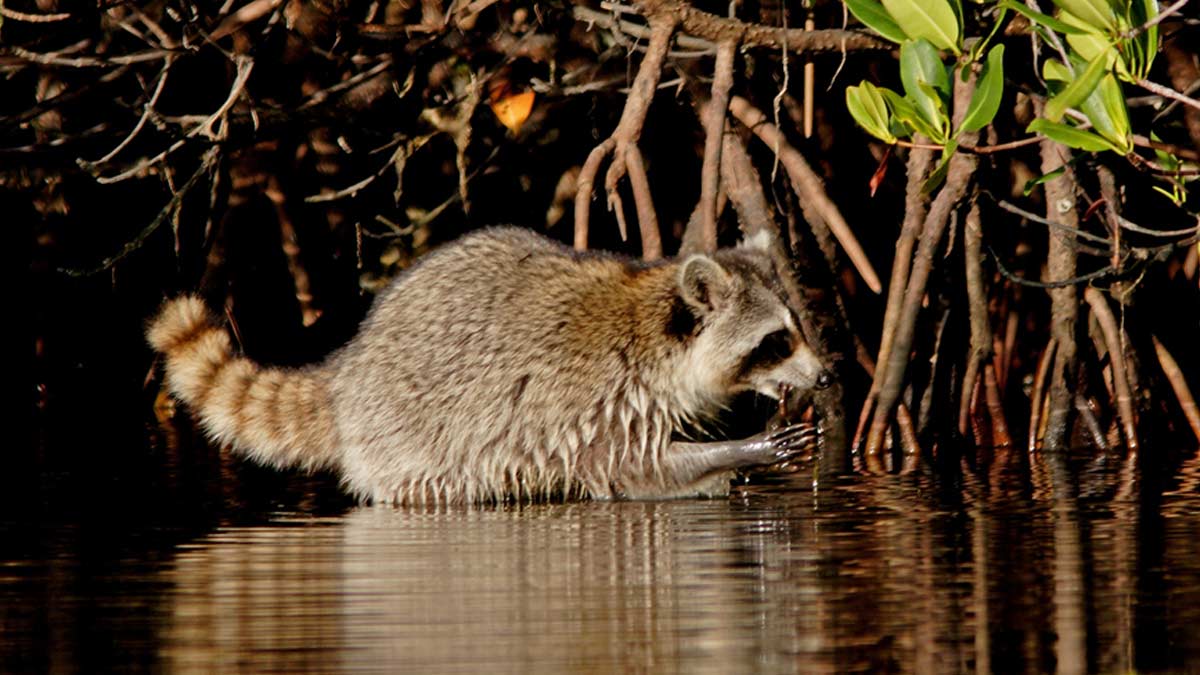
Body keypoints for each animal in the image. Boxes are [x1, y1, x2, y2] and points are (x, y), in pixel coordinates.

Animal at [148, 227, 832, 505]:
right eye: (776, 342)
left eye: (799, 329)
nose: (825, 376)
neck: (659, 333)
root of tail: (350, 367)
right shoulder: (596, 399)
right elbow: (630, 471)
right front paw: (744, 450)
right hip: (406, 441)